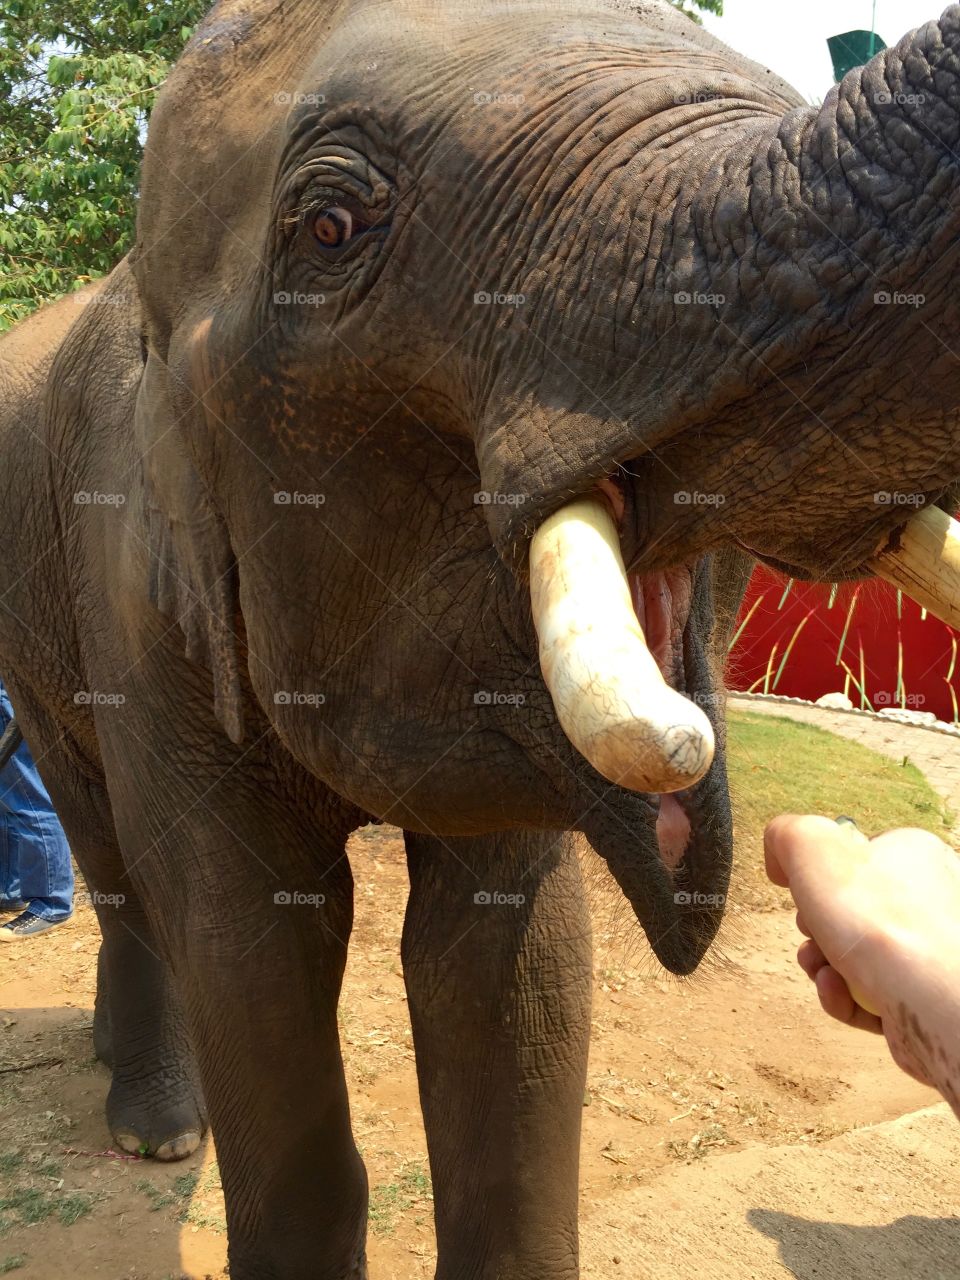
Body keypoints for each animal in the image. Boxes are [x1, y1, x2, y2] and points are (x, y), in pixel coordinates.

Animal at [2, 0, 960, 1274]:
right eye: (330, 227)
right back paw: (157, 1125)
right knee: (105, 846)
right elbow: (246, 940)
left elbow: (507, 955)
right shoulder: (141, 598)